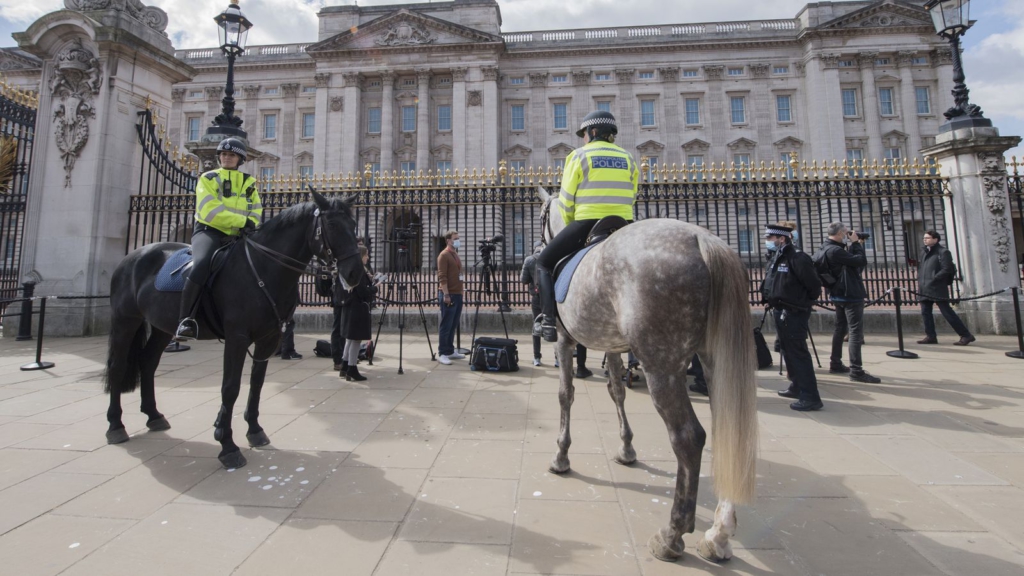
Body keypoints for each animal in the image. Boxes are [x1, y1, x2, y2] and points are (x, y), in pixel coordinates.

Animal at [105, 191, 362, 467]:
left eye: (354, 224)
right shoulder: (236, 338)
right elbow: (230, 387)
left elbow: (256, 384)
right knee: (117, 366)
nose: (355, 274)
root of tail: (133, 254)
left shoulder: (268, 338)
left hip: (162, 326)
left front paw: (255, 431)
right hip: (125, 320)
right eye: (332, 225)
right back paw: (115, 425)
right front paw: (227, 445)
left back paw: (154, 416)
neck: (263, 268)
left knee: (148, 362)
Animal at [536, 187, 761, 561]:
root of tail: (703, 240)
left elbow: (565, 395)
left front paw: (561, 456)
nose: (538, 247)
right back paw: (718, 535)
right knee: (726, 426)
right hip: (714, 358)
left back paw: (671, 536)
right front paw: (626, 448)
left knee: (689, 437)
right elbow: (617, 390)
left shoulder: (566, 340)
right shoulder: (612, 343)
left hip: (662, 364)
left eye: (540, 216)